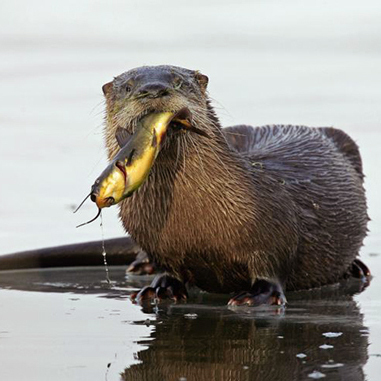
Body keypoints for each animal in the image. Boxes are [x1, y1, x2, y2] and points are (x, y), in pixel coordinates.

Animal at [98, 63, 368, 304]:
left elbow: (273, 267)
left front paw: (258, 295)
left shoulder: (275, 227)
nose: (153, 89)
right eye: (128, 87)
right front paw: (161, 287)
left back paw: (356, 267)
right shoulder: (157, 245)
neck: (192, 220)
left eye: (178, 82)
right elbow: (169, 269)